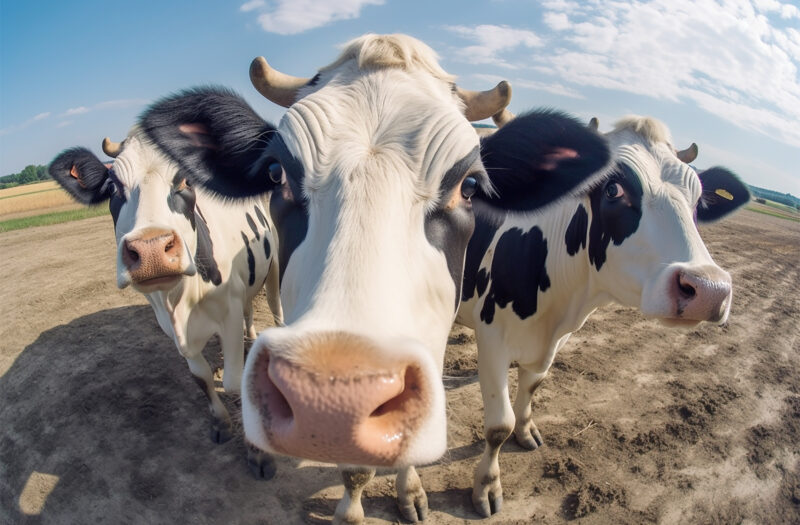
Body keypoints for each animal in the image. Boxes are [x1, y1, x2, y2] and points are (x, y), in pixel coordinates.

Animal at [49, 129, 283, 476]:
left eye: (185, 179)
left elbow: (232, 381)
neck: (182, 301)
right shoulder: (171, 325)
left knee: (276, 309)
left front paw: (258, 453)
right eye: (113, 186)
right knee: (250, 310)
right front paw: (221, 423)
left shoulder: (227, 312)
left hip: (275, 267)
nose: (152, 250)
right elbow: (200, 377)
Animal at [137, 34, 612, 523]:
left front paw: (414, 493)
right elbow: (356, 469)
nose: (329, 403)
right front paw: (356, 508)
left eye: (470, 185)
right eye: (276, 172)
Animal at [457, 115, 750, 517]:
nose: (710, 289)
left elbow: (532, 387)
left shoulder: (554, 341)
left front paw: (526, 431)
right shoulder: (493, 339)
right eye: (613, 189)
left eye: (697, 200)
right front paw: (487, 486)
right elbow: (498, 426)